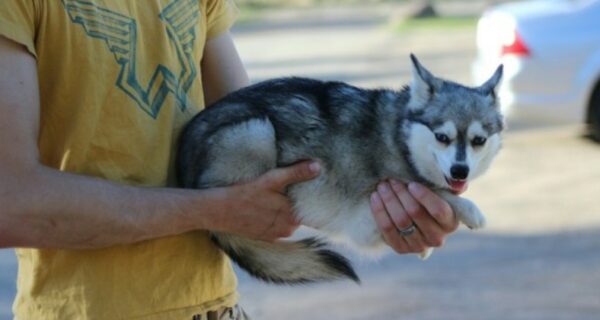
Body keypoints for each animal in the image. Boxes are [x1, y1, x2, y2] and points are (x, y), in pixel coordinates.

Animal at [176, 54, 504, 284]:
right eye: (442, 137)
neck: (400, 136)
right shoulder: (368, 213)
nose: (460, 171)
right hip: (256, 132)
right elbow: (436, 193)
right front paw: (469, 209)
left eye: (478, 141)